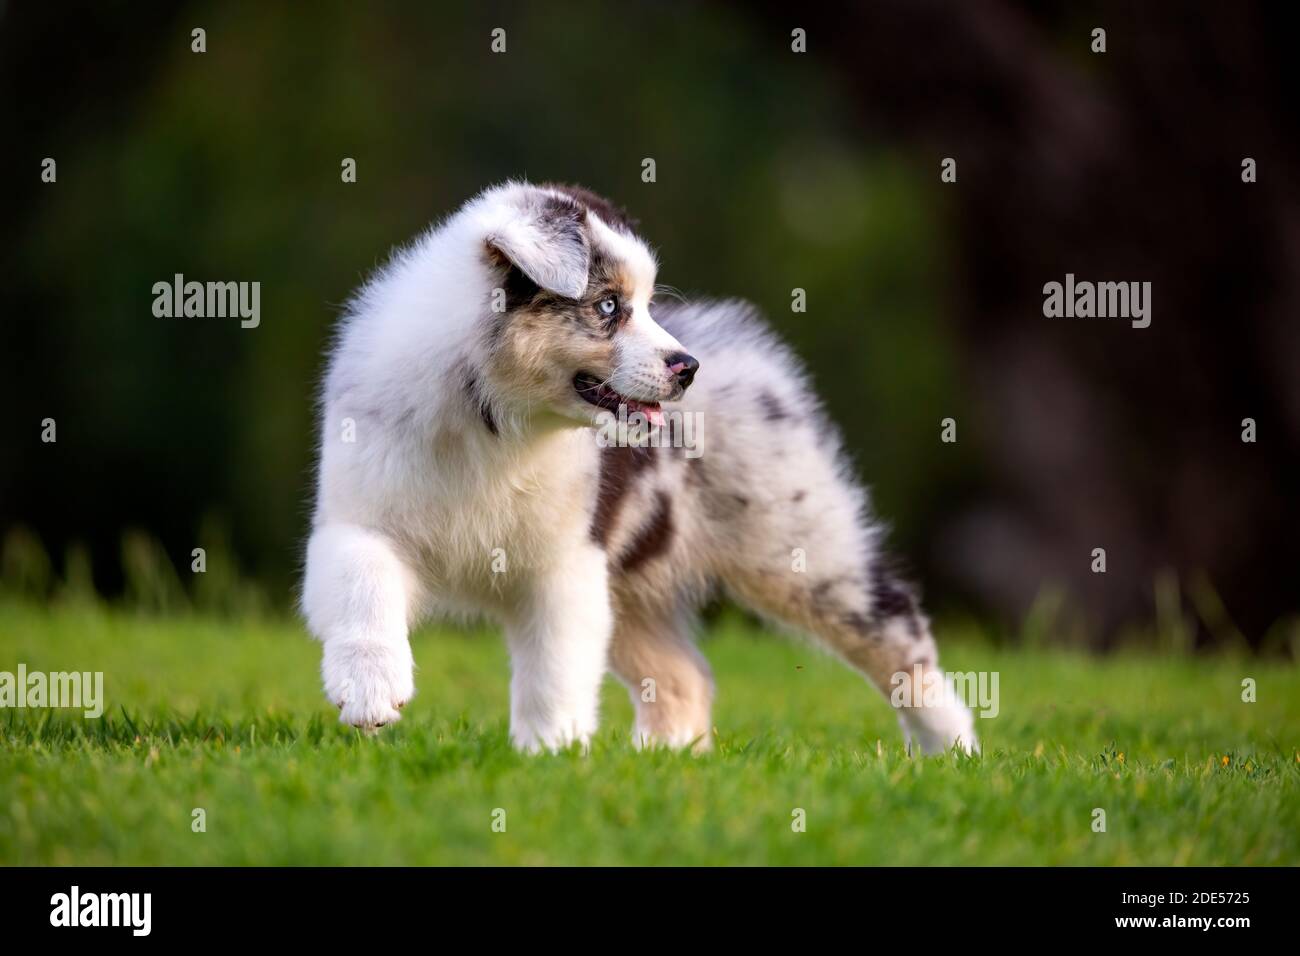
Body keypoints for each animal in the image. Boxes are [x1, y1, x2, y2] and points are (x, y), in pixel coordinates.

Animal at [304, 179, 977, 754]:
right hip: (638, 580)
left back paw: (952, 751)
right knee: (685, 677)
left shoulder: (568, 556)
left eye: (647, 304)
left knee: (902, 635)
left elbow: (556, 665)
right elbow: (363, 583)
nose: (687, 368)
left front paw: (549, 754)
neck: (499, 422)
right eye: (608, 306)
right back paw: (665, 760)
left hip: (799, 544)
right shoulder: (354, 518)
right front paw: (371, 694)